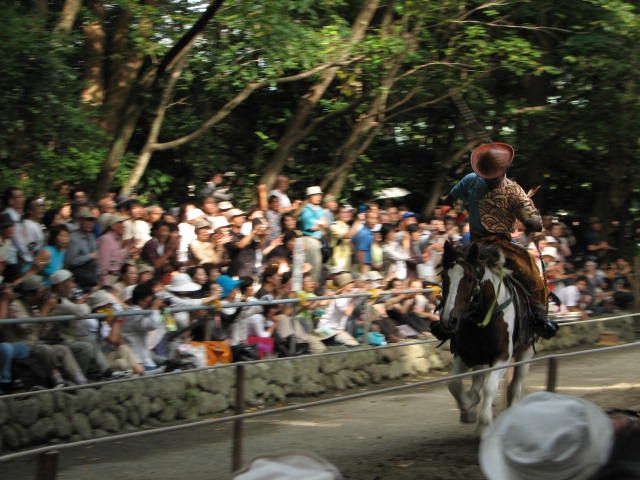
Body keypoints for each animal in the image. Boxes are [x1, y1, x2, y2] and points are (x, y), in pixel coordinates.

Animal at [440, 240, 536, 436]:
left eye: (469, 279)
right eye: (445, 278)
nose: (448, 320)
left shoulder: (502, 356)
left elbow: (490, 386)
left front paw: (484, 425)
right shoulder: (464, 354)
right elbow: (454, 383)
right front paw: (468, 406)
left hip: (526, 350)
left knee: (515, 385)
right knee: (478, 377)